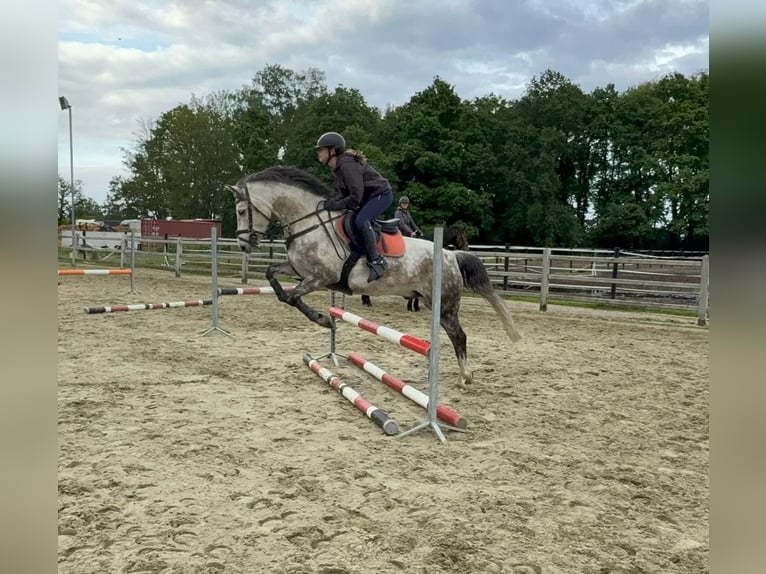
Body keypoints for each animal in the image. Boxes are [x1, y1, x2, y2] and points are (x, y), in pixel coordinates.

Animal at [226, 165, 521, 388]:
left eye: (241, 211)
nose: (243, 245)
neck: (308, 223)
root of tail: (451, 255)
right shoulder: (299, 270)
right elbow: (273, 278)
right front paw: (325, 320)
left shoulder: (320, 277)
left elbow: (293, 298)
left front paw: (324, 320)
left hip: (444, 306)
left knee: (459, 336)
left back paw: (464, 377)